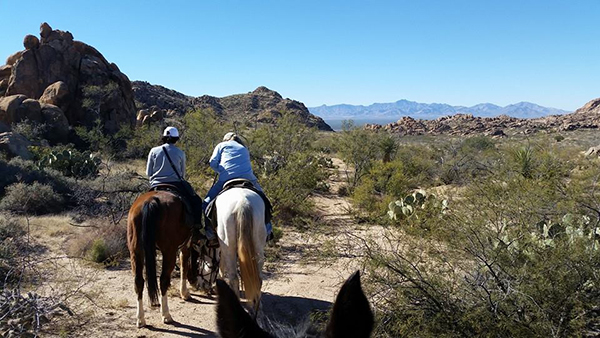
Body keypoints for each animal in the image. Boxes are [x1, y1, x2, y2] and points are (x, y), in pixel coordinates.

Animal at [126, 190, 202, 328]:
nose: (195, 282)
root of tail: (150, 201)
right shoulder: (186, 244)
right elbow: (184, 263)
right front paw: (185, 293)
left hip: (135, 251)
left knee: (138, 281)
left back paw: (140, 319)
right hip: (168, 251)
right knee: (163, 280)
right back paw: (166, 315)